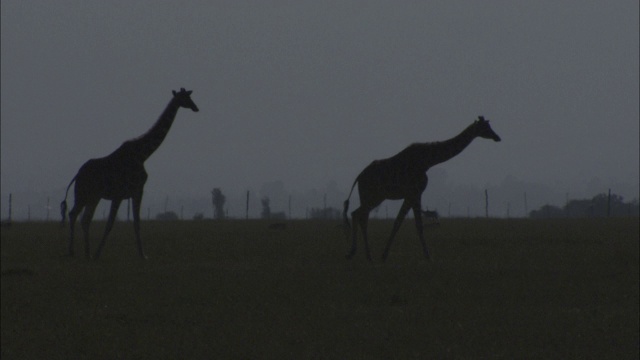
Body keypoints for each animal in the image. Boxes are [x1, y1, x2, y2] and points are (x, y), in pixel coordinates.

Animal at [61, 87, 200, 258]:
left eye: (189, 96)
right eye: (185, 98)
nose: (196, 107)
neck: (143, 154)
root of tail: (77, 175)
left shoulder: (131, 193)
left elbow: (134, 223)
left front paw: (141, 255)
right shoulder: (127, 193)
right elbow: (115, 224)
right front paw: (101, 253)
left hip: (94, 196)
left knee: (85, 219)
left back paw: (87, 253)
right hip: (82, 194)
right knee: (73, 214)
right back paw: (72, 251)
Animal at [344, 116, 500, 260]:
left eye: (489, 125)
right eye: (485, 127)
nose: (497, 137)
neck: (428, 161)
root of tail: (359, 177)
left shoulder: (412, 195)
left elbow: (400, 222)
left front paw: (384, 254)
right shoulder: (415, 193)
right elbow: (416, 224)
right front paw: (427, 256)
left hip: (375, 197)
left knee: (357, 214)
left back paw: (358, 253)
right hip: (372, 196)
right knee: (360, 215)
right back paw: (364, 254)